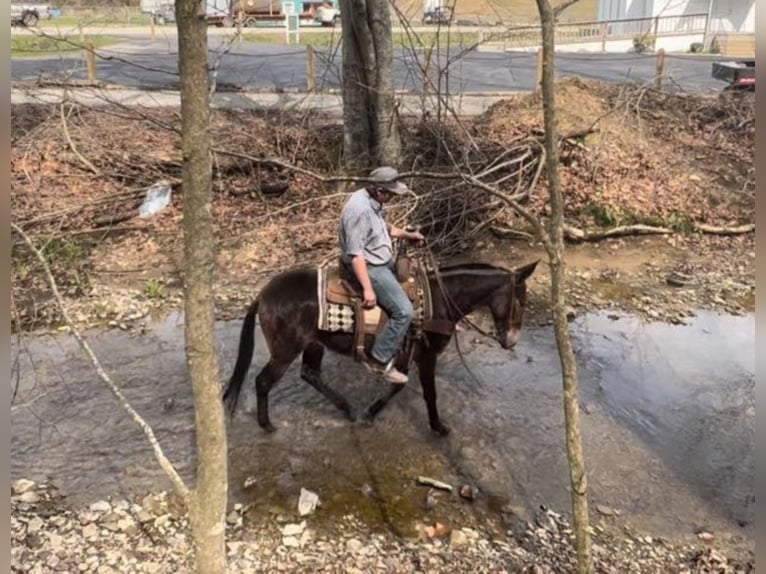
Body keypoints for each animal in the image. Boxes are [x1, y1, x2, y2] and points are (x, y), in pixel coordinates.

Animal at [224, 260, 540, 436]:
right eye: (522, 301)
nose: (511, 341)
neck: (439, 299)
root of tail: (263, 295)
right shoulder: (426, 356)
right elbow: (429, 393)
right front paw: (438, 427)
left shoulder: (406, 354)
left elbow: (398, 385)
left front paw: (369, 413)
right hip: (285, 350)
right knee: (263, 381)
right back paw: (267, 425)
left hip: (314, 344)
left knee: (310, 374)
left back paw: (348, 410)